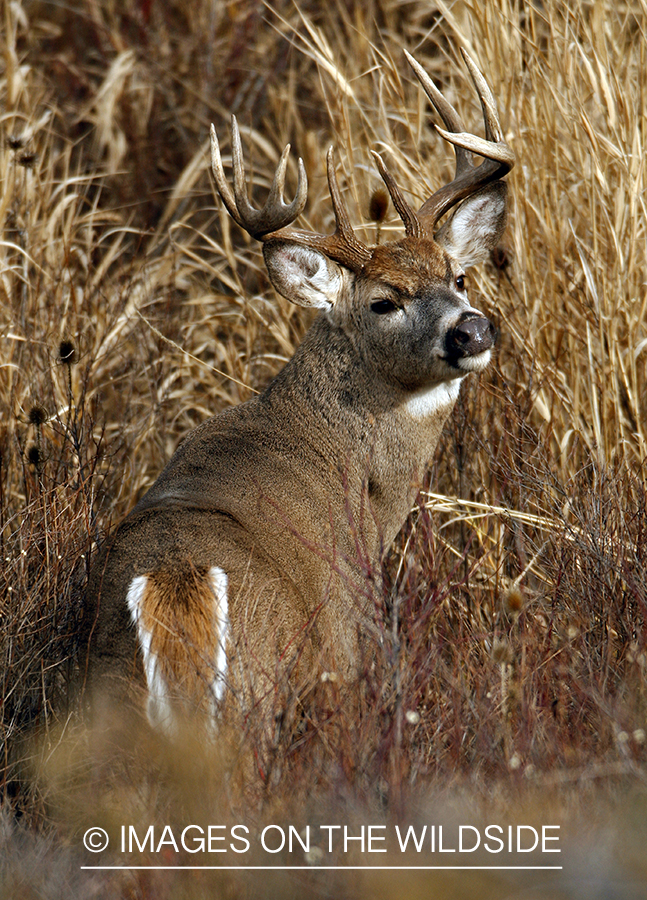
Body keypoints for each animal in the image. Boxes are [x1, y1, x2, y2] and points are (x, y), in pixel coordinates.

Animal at [82, 45, 516, 740]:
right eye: (383, 301)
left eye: (459, 277)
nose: (472, 329)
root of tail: (174, 584)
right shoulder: (347, 638)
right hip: (259, 694)